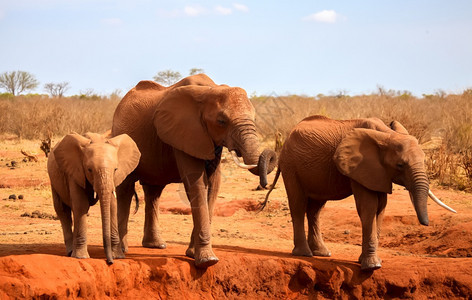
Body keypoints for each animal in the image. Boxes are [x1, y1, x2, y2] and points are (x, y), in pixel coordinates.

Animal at [47, 132, 141, 264]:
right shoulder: (75, 172)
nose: (109, 262)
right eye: (89, 170)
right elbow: (81, 205)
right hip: (54, 180)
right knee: (62, 210)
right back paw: (71, 252)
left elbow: (112, 205)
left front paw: (118, 256)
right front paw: (81, 257)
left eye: (115, 169)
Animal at [110, 74, 276, 268]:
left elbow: (213, 185)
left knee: (153, 191)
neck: (209, 90)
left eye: (255, 119)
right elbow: (197, 183)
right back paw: (121, 251)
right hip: (121, 137)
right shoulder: (184, 133)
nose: (264, 185)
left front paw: (192, 254)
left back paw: (156, 245)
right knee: (126, 189)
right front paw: (207, 261)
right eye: (222, 121)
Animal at [264, 115, 456, 272]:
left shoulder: (378, 171)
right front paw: (372, 266)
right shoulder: (359, 166)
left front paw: (367, 261)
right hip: (291, 166)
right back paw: (304, 254)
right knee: (298, 205)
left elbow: (380, 208)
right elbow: (368, 206)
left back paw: (322, 253)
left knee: (315, 209)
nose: (426, 223)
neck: (387, 135)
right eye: (400, 165)